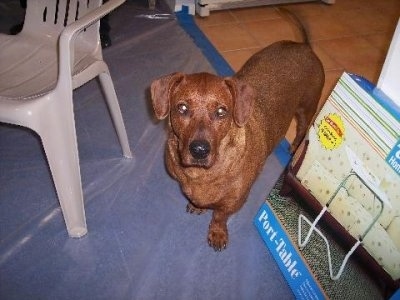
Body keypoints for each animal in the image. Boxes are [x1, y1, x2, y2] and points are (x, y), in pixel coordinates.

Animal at [151, 15, 324, 250]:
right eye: (182, 108)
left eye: (221, 112)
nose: (199, 150)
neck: (200, 174)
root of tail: (303, 46)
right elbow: (198, 200)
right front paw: (198, 206)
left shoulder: (234, 202)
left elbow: (219, 217)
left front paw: (217, 232)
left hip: (307, 111)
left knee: (301, 131)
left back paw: (294, 148)